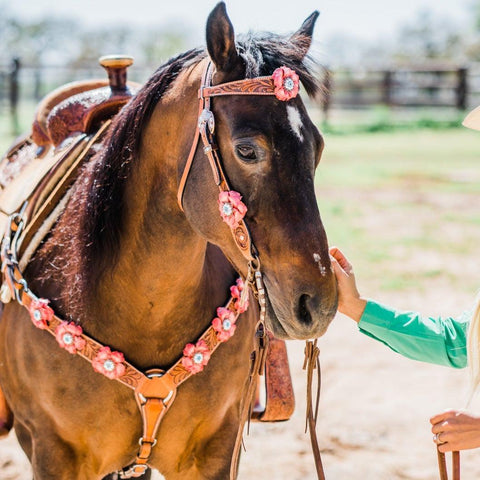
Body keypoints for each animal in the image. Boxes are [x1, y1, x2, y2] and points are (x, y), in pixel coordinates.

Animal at [0, 3, 336, 480]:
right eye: (247, 150)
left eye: (317, 147)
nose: (318, 304)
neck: (143, 304)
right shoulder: (50, 453)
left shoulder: (214, 452)